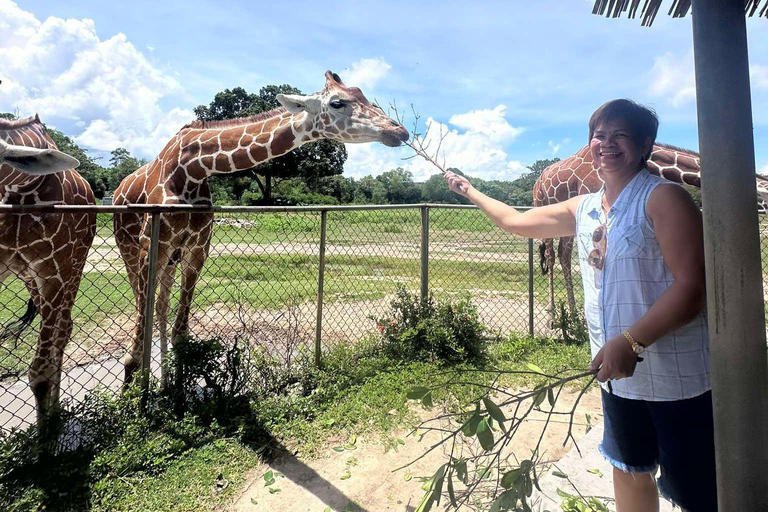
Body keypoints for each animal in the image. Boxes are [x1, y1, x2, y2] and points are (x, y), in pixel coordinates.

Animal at [0, 114, 96, 430]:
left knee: (63, 330)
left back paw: (54, 414)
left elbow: (38, 374)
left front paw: (46, 439)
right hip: (29, 276)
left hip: (73, 265)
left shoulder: (52, 270)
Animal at [113, 71, 408, 384]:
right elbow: (135, 348)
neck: (193, 169)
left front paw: (173, 390)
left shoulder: (196, 249)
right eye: (337, 103)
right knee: (144, 304)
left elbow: (181, 333)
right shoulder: (150, 248)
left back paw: (164, 380)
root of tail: (119, 188)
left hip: (171, 257)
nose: (399, 131)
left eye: (362, 93)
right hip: (130, 250)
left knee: (161, 306)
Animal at [532, 143, 768, 316]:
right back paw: (554, 314)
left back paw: (571, 314)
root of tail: (538, 180)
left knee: (562, 254)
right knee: (551, 254)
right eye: (765, 198)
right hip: (542, 206)